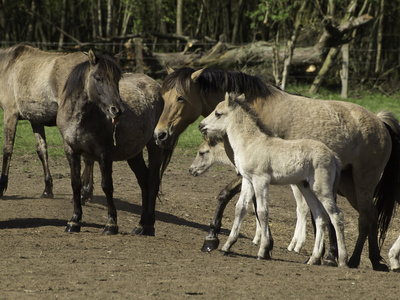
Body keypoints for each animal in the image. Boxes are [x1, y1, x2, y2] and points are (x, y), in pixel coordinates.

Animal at [56, 50, 167, 236]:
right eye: (98, 78)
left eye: (117, 80)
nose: (117, 110)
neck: (80, 118)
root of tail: (157, 86)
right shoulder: (71, 151)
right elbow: (75, 184)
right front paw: (74, 221)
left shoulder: (104, 155)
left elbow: (107, 186)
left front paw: (111, 224)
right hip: (134, 153)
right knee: (143, 181)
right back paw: (140, 225)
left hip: (155, 147)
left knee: (152, 182)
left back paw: (149, 226)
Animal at [199, 92, 346, 266]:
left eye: (217, 113)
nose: (201, 126)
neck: (251, 143)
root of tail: (333, 156)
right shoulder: (247, 180)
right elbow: (240, 208)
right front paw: (227, 246)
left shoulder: (260, 180)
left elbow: (263, 212)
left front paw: (262, 251)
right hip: (306, 188)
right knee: (320, 217)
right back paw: (314, 258)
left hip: (321, 188)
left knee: (336, 216)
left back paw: (342, 260)